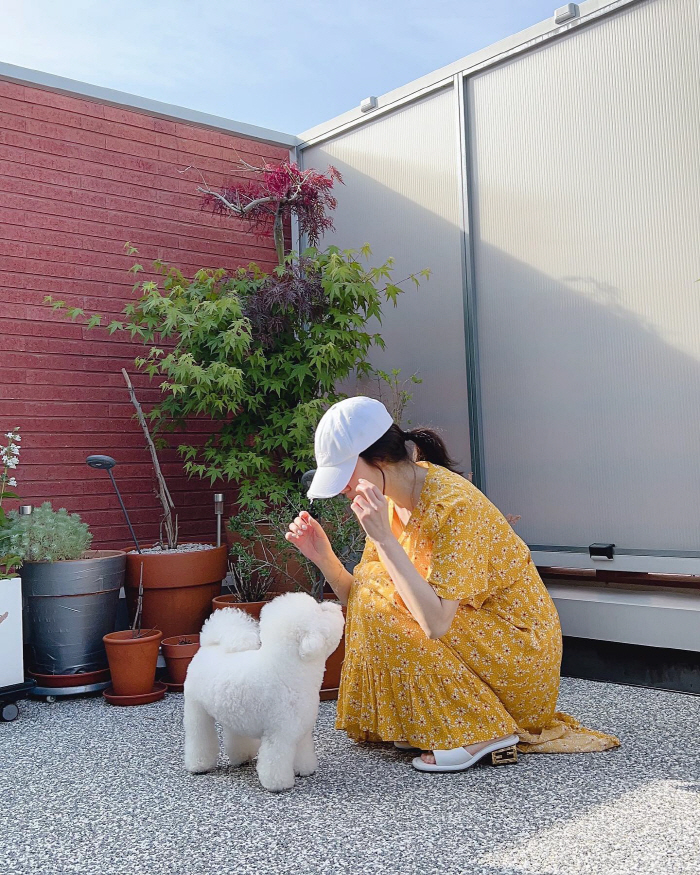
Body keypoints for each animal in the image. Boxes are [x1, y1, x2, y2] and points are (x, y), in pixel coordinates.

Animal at [182, 592, 344, 792]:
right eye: (321, 612)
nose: (334, 606)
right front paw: (278, 784)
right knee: (199, 735)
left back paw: (243, 756)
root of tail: (209, 646)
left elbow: (303, 751)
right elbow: (275, 760)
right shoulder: (279, 733)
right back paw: (199, 765)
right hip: (196, 708)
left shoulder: (300, 730)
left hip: (234, 712)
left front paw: (304, 769)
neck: (289, 668)